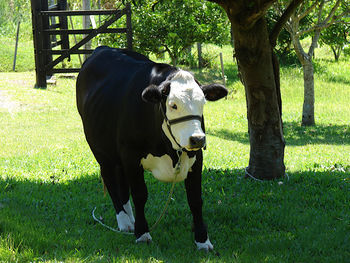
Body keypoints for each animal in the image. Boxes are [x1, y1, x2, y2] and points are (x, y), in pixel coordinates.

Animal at [76, 46, 227, 251]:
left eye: (202, 103)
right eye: (173, 105)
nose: (197, 139)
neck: (170, 150)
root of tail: (103, 48)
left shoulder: (196, 158)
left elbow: (195, 200)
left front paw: (203, 240)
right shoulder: (131, 156)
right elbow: (140, 195)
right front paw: (142, 233)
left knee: (122, 183)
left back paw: (130, 219)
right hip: (101, 150)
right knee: (111, 180)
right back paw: (124, 221)